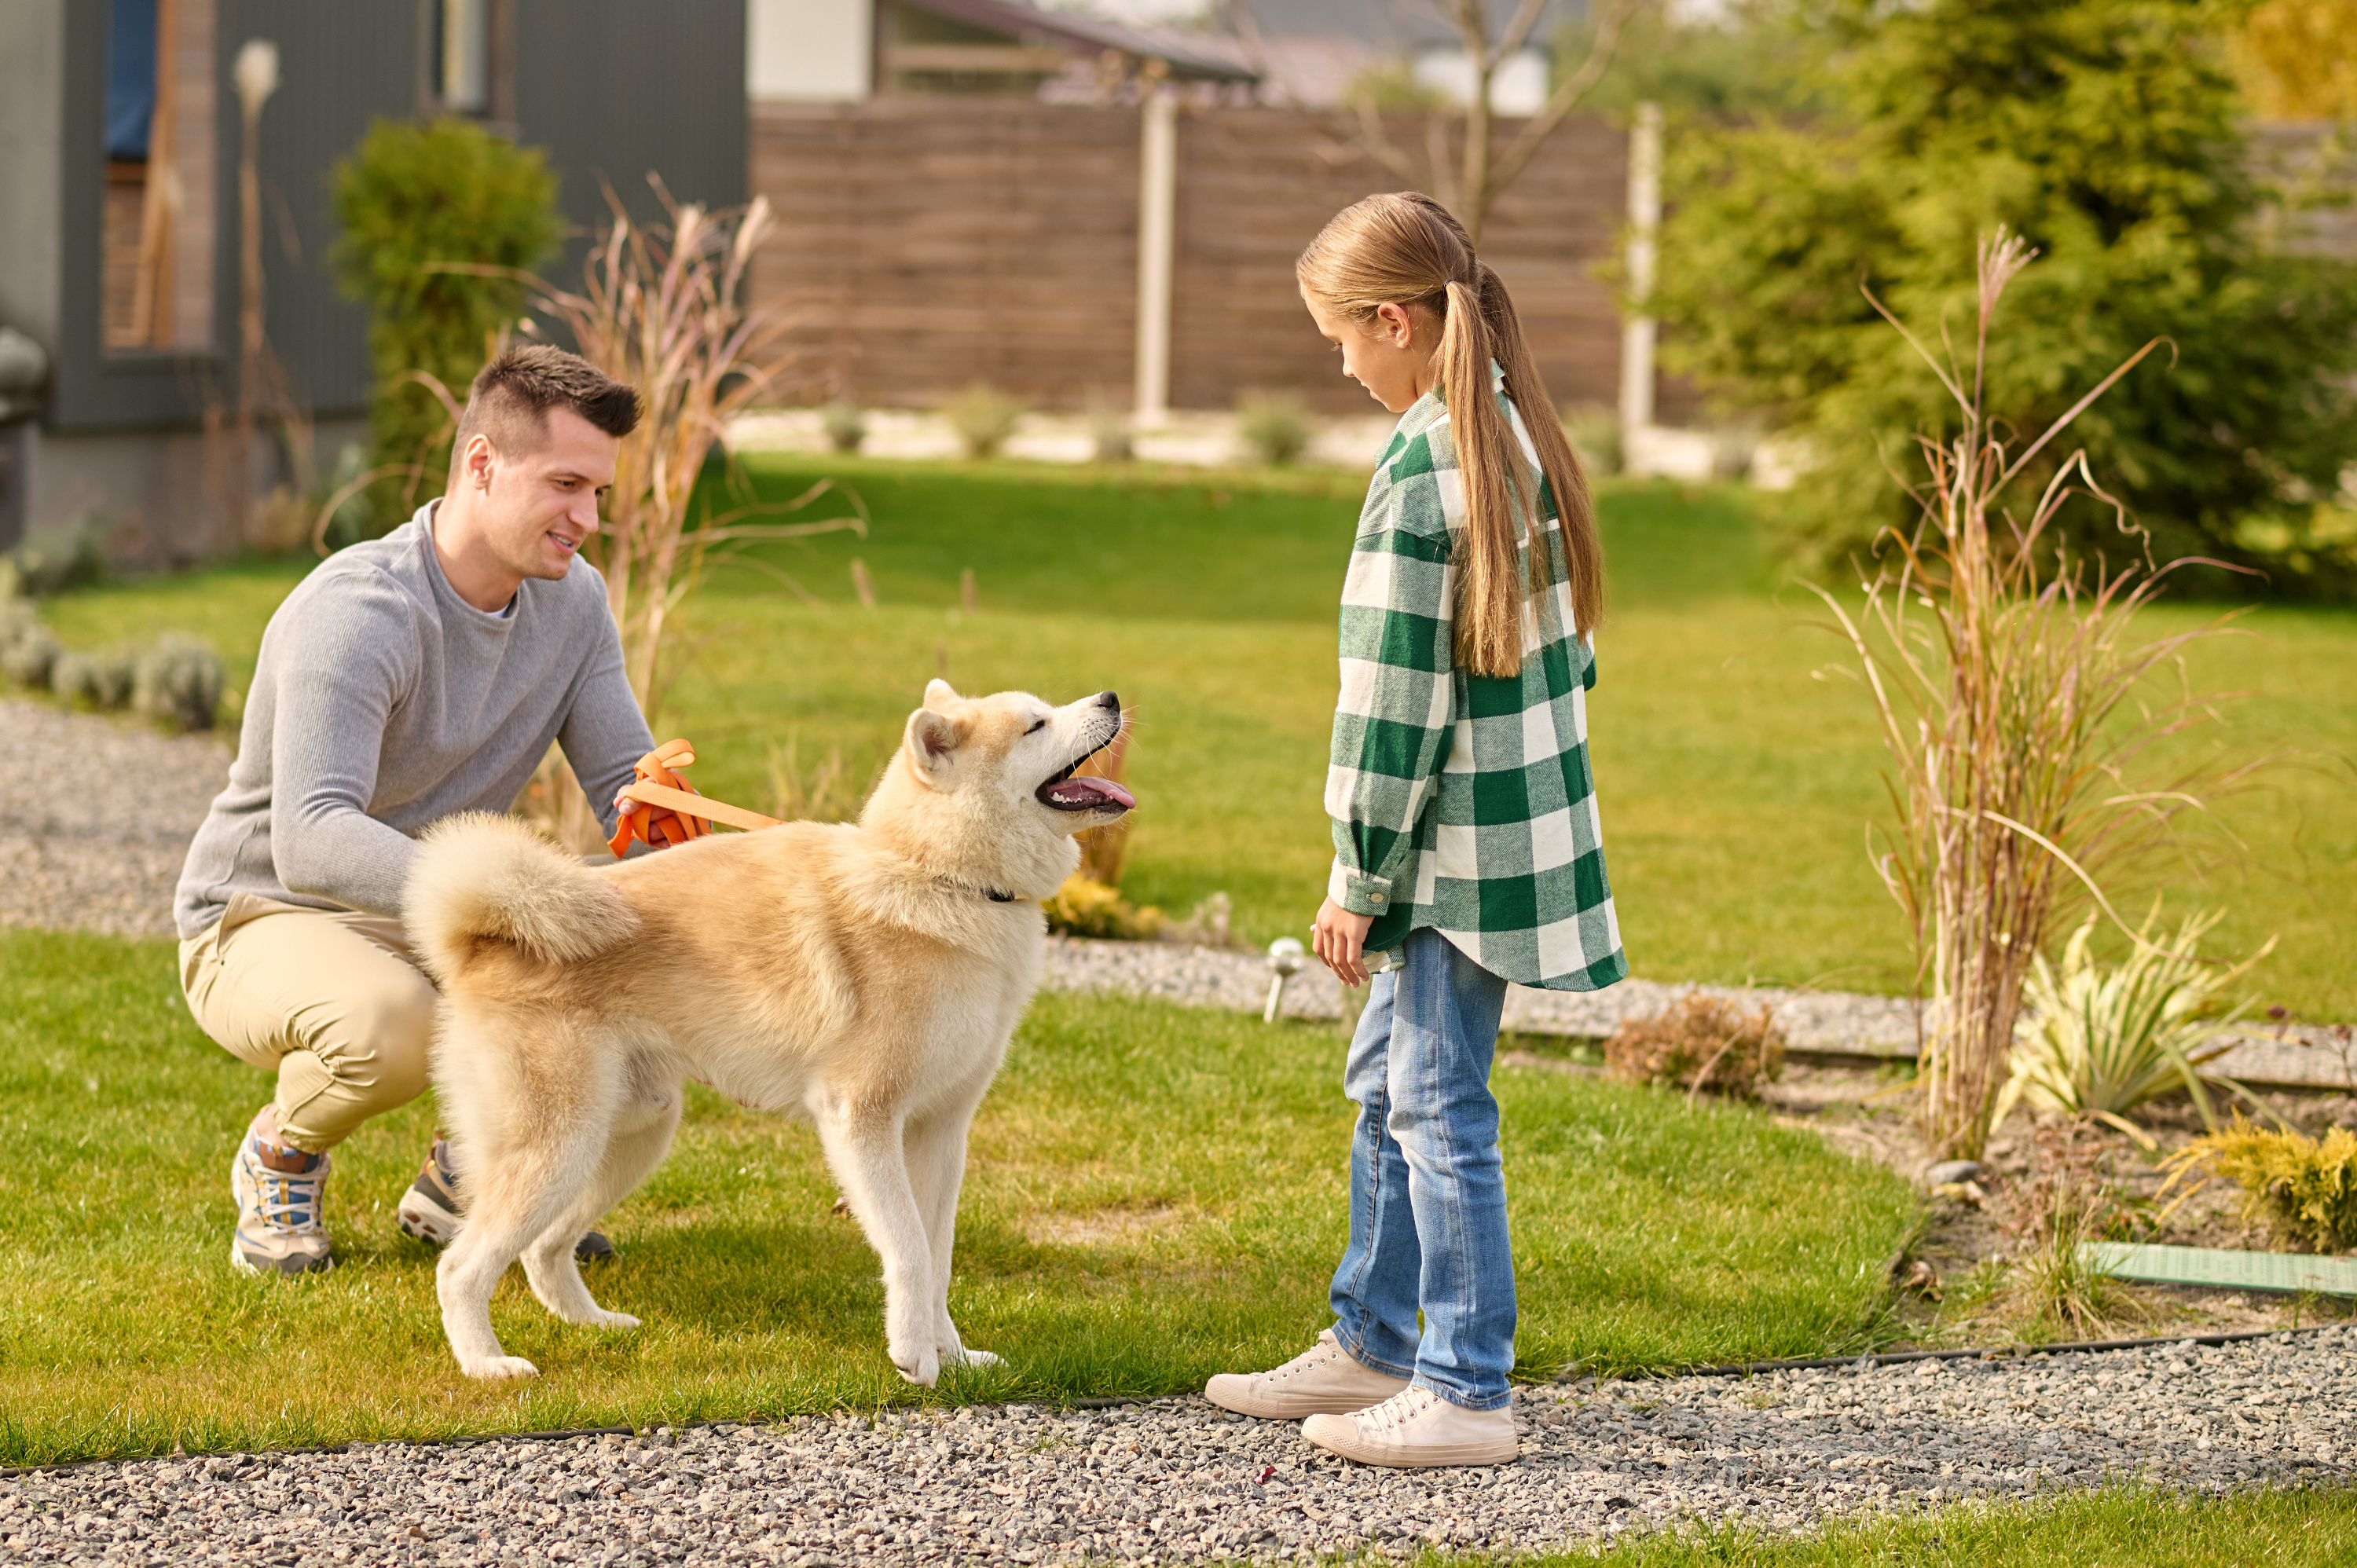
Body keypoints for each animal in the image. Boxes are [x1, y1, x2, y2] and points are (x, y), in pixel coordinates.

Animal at [405, 683, 1131, 1386]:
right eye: (1035, 725)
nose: (1111, 699)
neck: (938, 876)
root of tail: (484, 941)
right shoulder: (861, 1119)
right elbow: (908, 1250)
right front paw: (913, 1357)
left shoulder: (940, 1131)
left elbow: (938, 1257)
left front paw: (951, 1357)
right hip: (557, 1143)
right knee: (462, 1268)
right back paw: (487, 1365)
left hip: (630, 1134)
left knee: (542, 1248)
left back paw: (596, 1325)